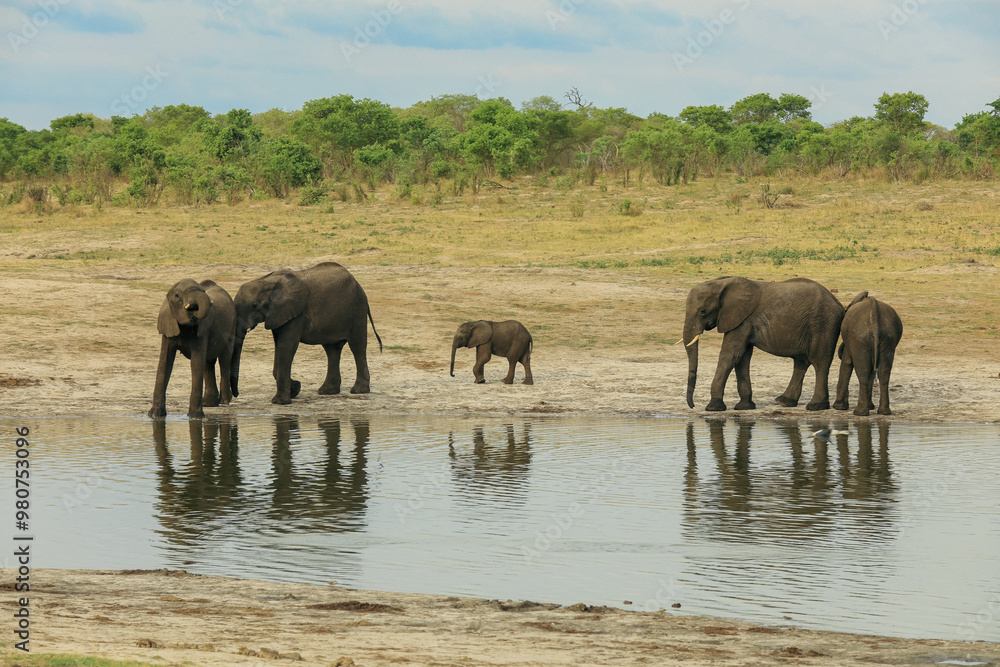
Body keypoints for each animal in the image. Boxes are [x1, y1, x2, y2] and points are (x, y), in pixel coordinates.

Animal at [149, 279, 237, 419]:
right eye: (177, 295)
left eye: (204, 291)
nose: (193, 309)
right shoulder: (168, 327)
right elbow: (165, 363)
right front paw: (155, 415)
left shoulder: (202, 330)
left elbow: (196, 363)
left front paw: (195, 417)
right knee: (208, 363)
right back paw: (208, 403)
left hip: (232, 326)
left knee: (224, 360)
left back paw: (223, 401)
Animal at [232, 262, 382, 404]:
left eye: (254, 305)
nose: (236, 395)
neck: (265, 280)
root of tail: (357, 282)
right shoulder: (277, 314)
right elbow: (279, 346)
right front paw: (295, 388)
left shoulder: (296, 312)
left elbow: (286, 346)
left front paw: (280, 402)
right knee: (332, 350)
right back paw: (327, 391)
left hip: (357, 310)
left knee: (357, 347)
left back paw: (358, 391)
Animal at [683, 276, 845, 412]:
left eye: (702, 311)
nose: (692, 406)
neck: (721, 283)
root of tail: (838, 303)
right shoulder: (743, 321)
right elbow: (742, 357)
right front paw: (744, 407)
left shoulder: (743, 320)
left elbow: (730, 354)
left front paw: (713, 408)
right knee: (801, 362)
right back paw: (784, 402)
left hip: (824, 324)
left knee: (820, 363)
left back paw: (815, 406)